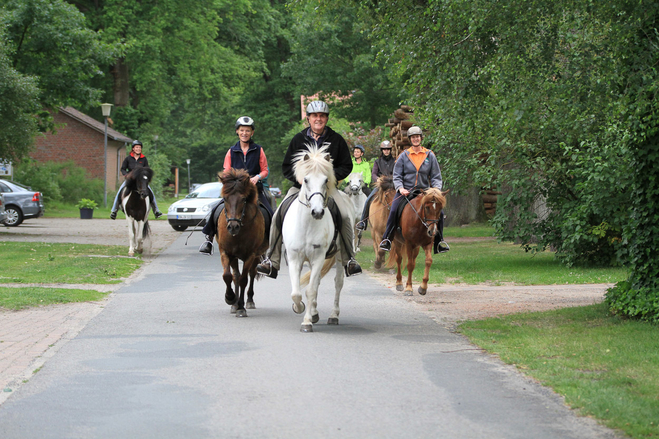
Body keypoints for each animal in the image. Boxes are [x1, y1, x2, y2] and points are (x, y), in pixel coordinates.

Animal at [217, 168, 268, 316]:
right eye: (225, 198)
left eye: (244, 199)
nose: (233, 226)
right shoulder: (226, 252)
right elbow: (228, 276)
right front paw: (230, 298)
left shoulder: (250, 255)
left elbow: (244, 279)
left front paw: (241, 307)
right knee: (236, 275)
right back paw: (234, 303)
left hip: (256, 256)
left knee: (251, 274)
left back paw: (249, 301)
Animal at [284, 144, 356, 334]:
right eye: (305, 180)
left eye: (325, 180)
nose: (317, 212)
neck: (308, 225)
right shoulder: (295, 258)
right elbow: (297, 292)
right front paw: (300, 308)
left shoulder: (318, 257)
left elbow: (310, 290)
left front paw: (307, 321)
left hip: (339, 255)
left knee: (337, 283)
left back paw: (333, 316)